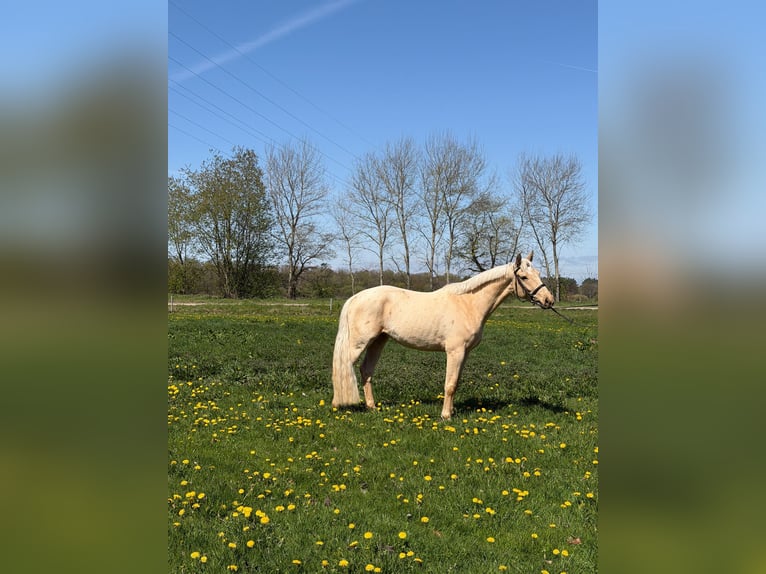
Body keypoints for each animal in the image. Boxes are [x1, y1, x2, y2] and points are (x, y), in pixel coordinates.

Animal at [331, 252, 555, 419]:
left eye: (538, 272)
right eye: (524, 277)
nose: (548, 300)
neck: (468, 304)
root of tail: (355, 298)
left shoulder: (465, 353)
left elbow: (456, 382)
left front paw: (452, 411)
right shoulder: (455, 351)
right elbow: (450, 384)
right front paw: (446, 416)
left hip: (378, 341)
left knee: (366, 370)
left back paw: (372, 407)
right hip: (359, 344)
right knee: (344, 368)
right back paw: (339, 404)